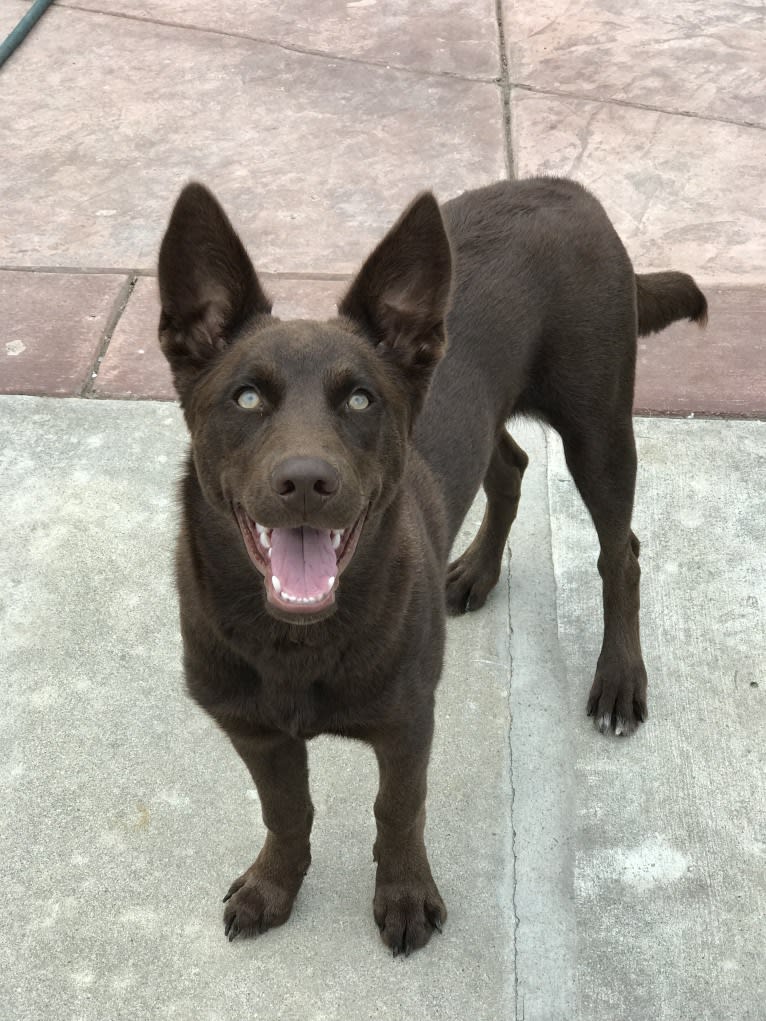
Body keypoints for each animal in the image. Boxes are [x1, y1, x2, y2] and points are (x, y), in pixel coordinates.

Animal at [159, 177, 710, 955]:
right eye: (246, 396)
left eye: (361, 398)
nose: (306, 481)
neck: (297, 639)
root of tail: (567, 188)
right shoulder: (252, 729)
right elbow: (285, 810)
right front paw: (274, 884)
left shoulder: (408, 720)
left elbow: (399, 807)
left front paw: (404, 896)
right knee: (510, 465)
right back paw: (476, 570)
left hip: (599, 425)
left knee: (619, 552)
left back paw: (619, 679)